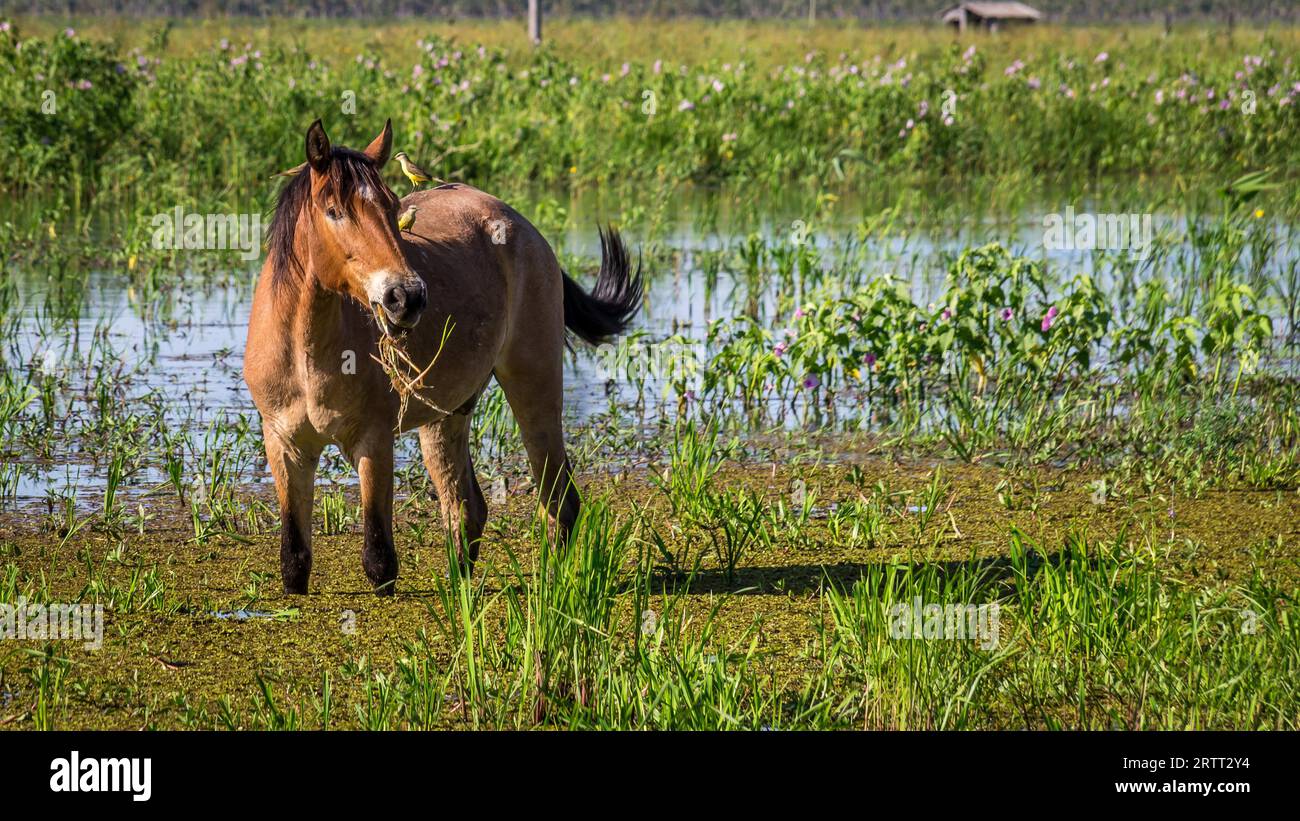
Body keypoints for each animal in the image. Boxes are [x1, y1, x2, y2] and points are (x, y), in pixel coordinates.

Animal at [243, 120, 639, 597]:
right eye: (334, 210)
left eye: (393, 206)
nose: (406, 297)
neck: (305, 356)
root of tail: (522, 226)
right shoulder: (285, 446)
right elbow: (295, 563)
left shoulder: (373, 440)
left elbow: (379, 562)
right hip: (445, 417)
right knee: (465, 510)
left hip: (535, 390)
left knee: (558, 500)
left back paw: (553, 588)